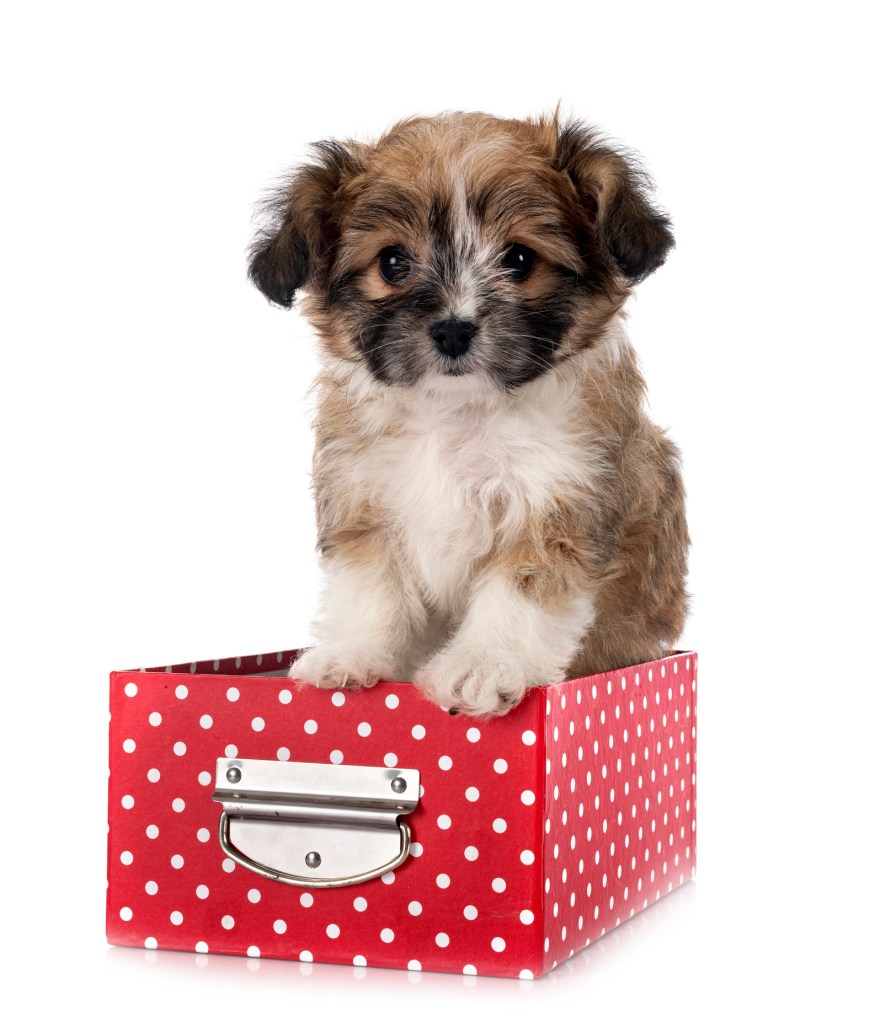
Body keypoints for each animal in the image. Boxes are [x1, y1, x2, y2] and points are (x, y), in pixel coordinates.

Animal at [249, 112, 691, 716]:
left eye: (520, 259)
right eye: (392, 263)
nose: (454, 329)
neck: (458, 413)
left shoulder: (557, 506)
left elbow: (518, 594)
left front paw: (482, 667)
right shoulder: (365, 498)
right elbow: (369, 586)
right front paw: (350, 655)